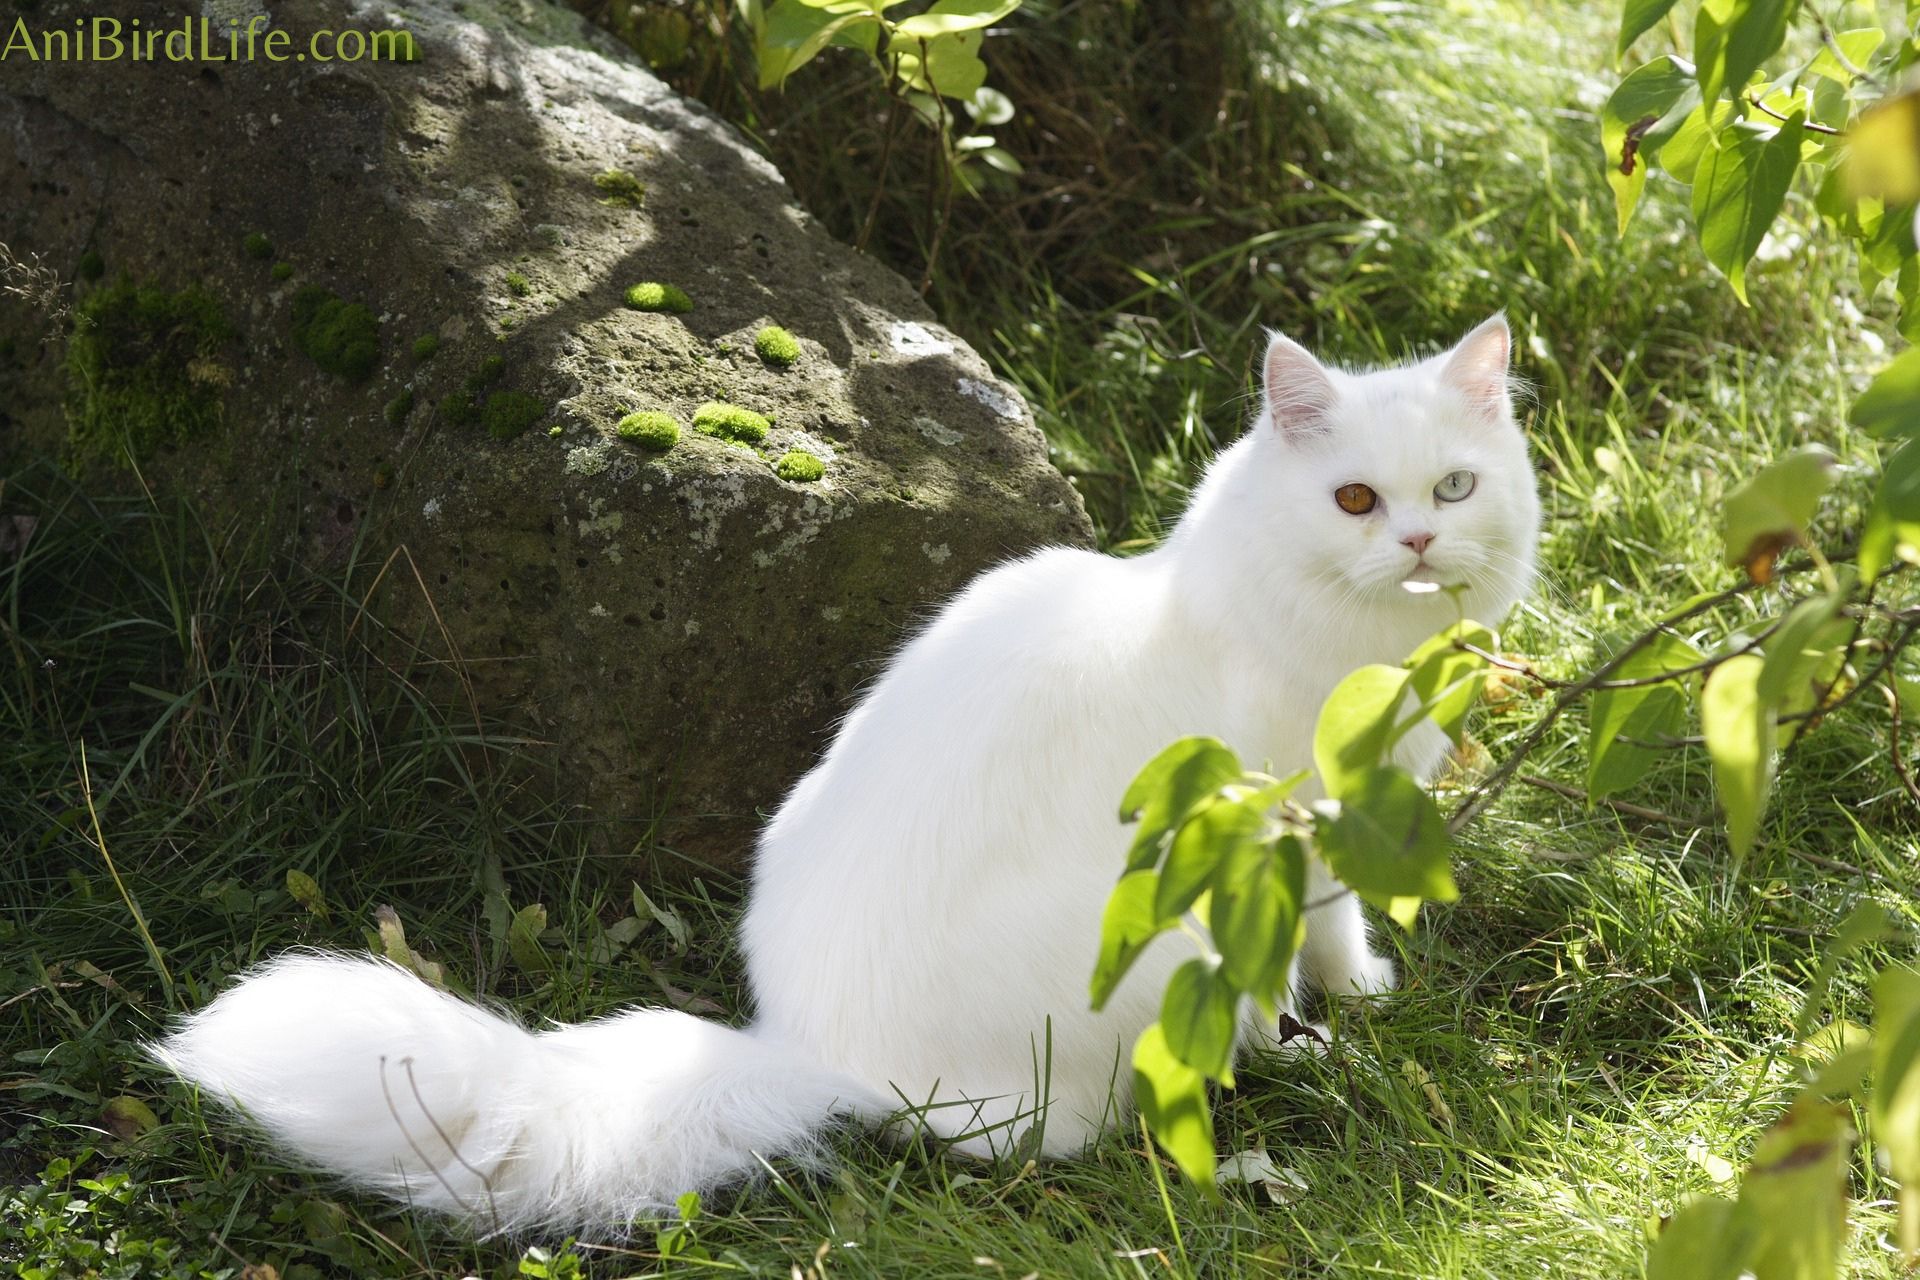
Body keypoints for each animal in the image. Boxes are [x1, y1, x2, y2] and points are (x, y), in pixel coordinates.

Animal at [153, 310, 1543, 1228]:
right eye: (1355, 500)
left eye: (1452, 488)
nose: (1418, 543)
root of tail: (805, 1047)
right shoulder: (1296, 827)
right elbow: (1319, 939)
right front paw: (1342, 1013)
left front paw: (1352, 1004)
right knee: (1044, 1132)